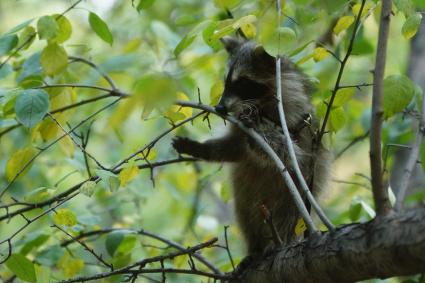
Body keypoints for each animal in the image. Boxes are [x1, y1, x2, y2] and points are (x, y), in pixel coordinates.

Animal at [171, 36, 328, 256]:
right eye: (226, 82)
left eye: (243, 83)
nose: (220, 107)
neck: (261, 102)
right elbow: (235, 148)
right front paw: (201, 148)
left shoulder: (297, 119)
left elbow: (292, 154)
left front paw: (259, 131)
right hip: (245, 200)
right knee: (246, 214)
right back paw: (255, 247)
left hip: (297, 197)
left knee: (289, 215)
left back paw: (279, 240)